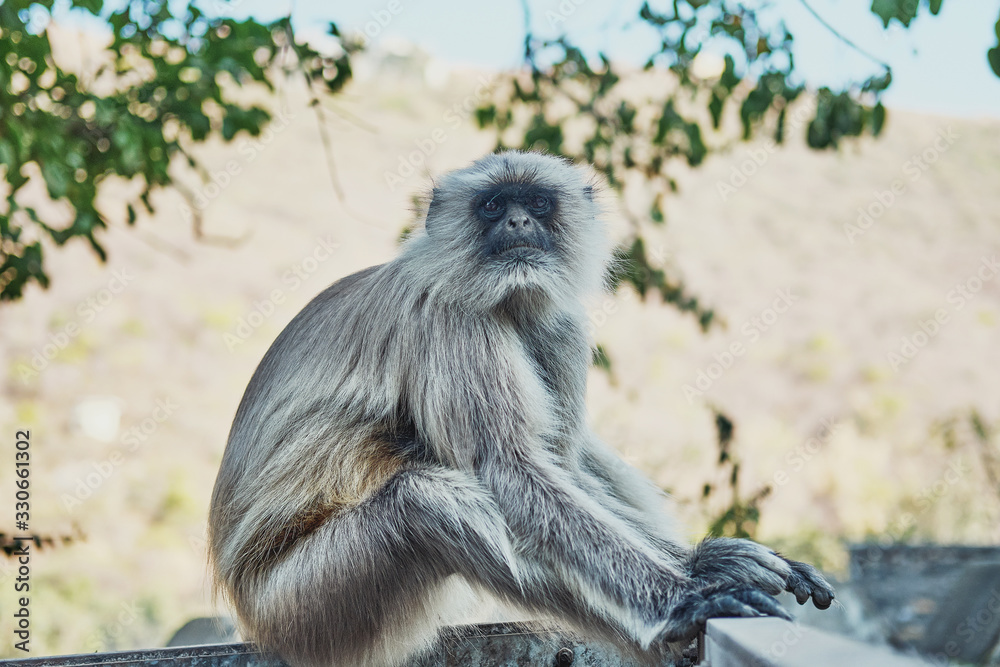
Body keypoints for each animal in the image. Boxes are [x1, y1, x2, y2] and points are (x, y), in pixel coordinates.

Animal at [208, 150, 833, 667]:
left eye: (535, 203)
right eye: (491, 205)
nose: (516, 224)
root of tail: (244, 603)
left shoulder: (561, 326)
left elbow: (560, 462)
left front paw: (706, 563)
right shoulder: (454, 315)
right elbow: (508, 470)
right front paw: (684, 595)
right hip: (304, 604)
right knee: (430, 501)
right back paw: (670, 625)